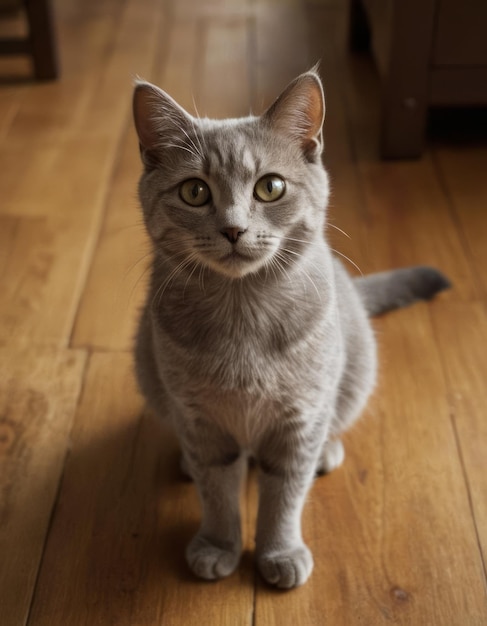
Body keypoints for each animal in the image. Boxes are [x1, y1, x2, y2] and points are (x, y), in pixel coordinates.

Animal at [132, 70, 452, 588]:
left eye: (271, 187)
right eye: (194, 192)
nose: (234, 229)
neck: (242, 314)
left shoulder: (301, 416)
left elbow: (284, 494)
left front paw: (278, 552)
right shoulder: (200, 418)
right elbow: (216, 491)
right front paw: (218, 544)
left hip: (352, 374)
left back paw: (327, 452)